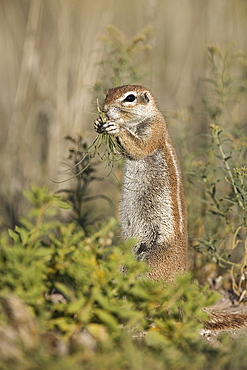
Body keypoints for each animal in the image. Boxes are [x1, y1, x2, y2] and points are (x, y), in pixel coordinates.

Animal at [94, 84, 187, 282]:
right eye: (107, 93)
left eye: (130, 98)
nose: (104, 109)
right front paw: (98, 123)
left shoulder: (154, 129)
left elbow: (140, 147)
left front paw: (116, 128)